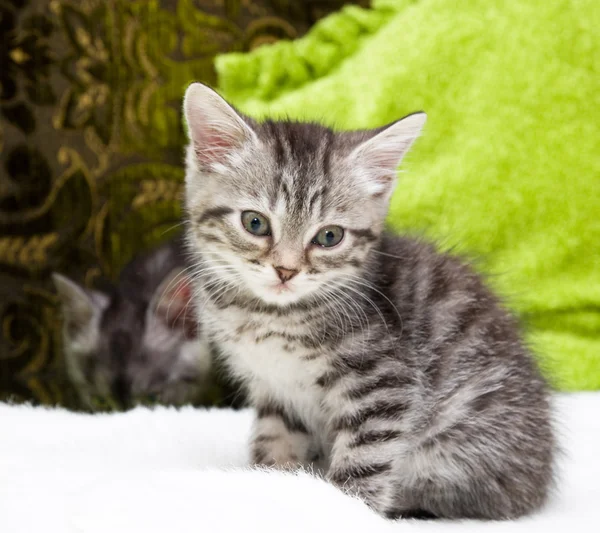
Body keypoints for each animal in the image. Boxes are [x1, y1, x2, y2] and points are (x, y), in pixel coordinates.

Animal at [182, 84, 552, 520]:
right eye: (254, 223)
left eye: (329, 237)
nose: (286, 270)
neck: (268, 317)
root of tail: (538, 484)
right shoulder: (276, 392)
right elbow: (276, 444)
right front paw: (274, 486)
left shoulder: (383, 383)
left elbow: (364, 462)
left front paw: (344, 509)